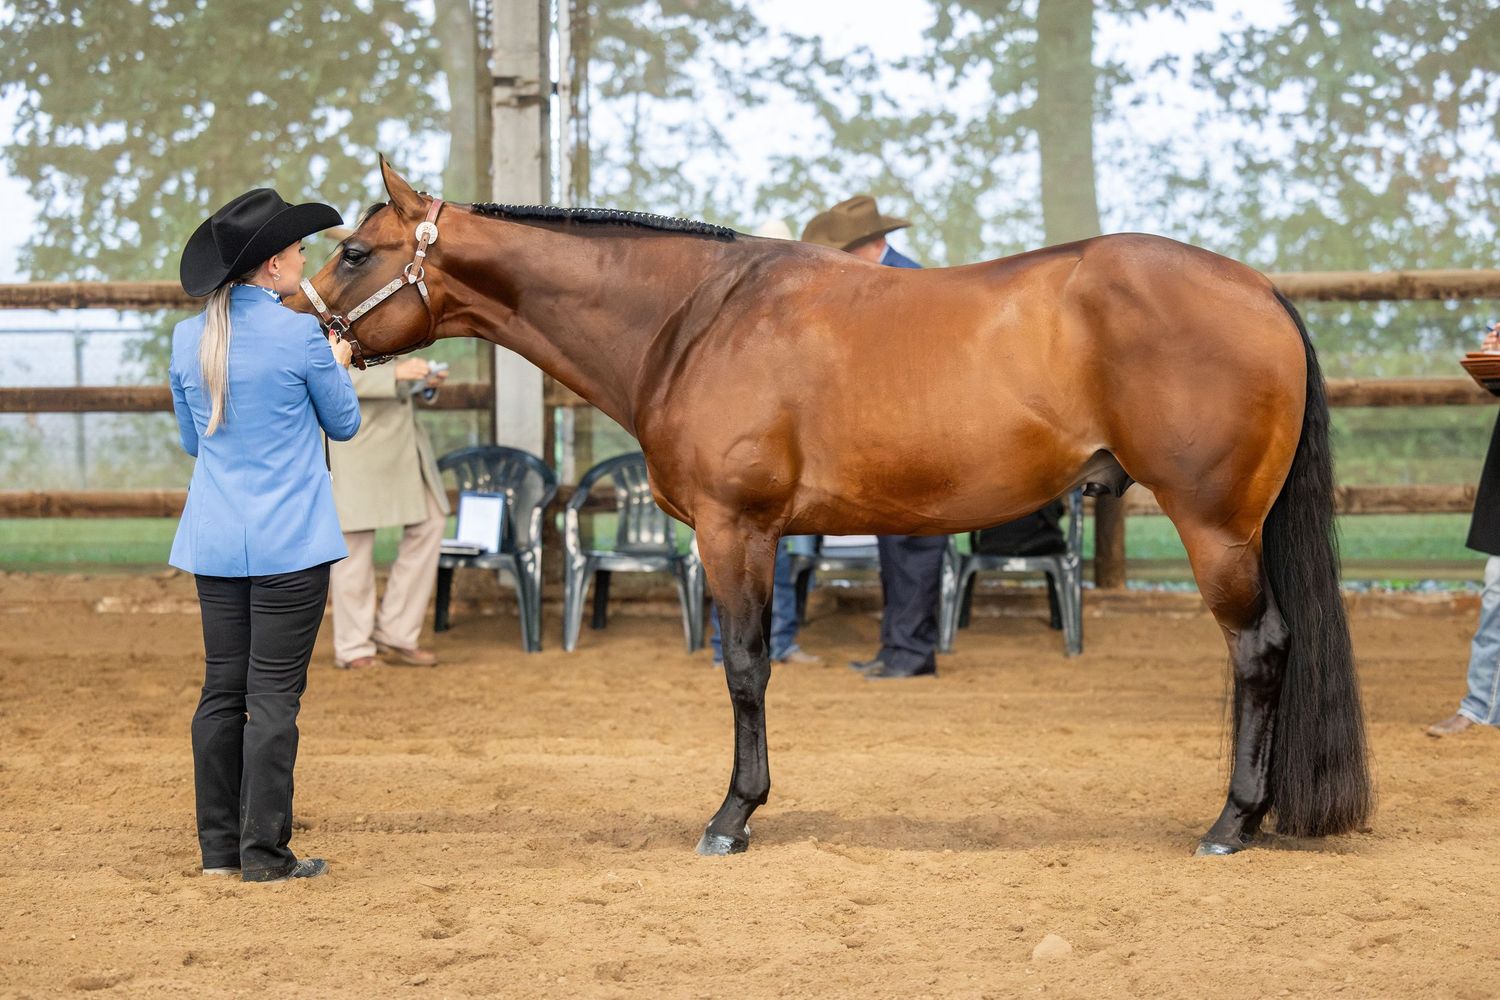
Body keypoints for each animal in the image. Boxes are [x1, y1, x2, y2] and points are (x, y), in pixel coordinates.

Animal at [288, 158, 1371, 857]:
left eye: (356, 252)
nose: (305, 326)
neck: (691, 320)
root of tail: (1259, 292)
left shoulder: (738, 529)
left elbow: (745, 666)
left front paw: (733, 815)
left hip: (1215, 526)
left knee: (1260, 648)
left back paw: (1232, 823)